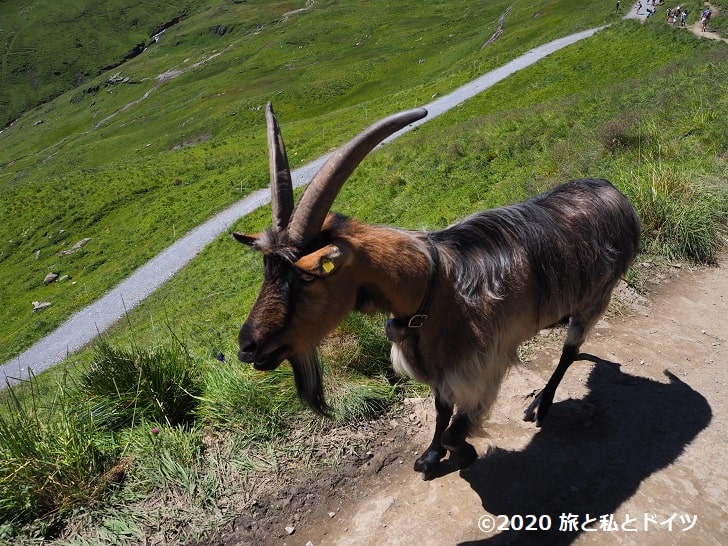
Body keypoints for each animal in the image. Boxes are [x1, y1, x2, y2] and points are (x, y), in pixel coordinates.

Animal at [236, 102, 640, 476]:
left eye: (307, 276)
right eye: (267, 271)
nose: (246, 347)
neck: (436, 289)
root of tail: (615, 193)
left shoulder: (483, 367)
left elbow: (454, 428)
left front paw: (463, 452)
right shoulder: (439, 364)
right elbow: (441, 410)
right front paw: (430, 456)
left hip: (597, 296)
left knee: (570, 351)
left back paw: (540, 404)